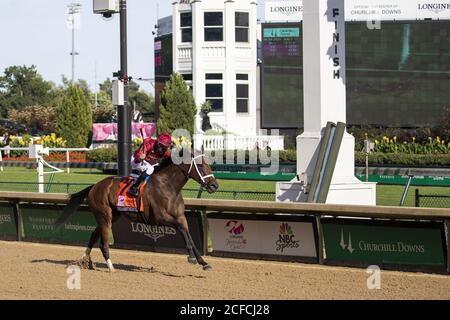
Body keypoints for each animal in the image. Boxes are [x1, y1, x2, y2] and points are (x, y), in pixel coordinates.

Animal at [56, 150, 218, 272]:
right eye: (200, 165)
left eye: (208, 164)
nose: (214, 186)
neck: (168, 186)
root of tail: (94, 186)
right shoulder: (160, 218)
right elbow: (182, 230)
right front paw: (191, 257)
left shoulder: (181, 217)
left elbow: (189, 235)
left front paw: (203, 262)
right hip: (104, 215)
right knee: (103, 242)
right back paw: (111, 267)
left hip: (111, 216)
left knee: (94, 236)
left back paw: (84, 260)